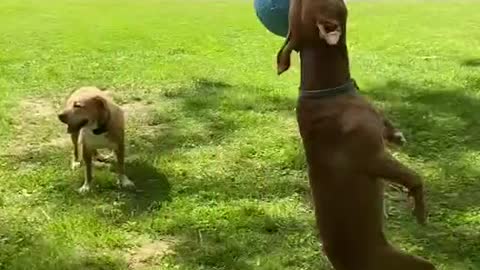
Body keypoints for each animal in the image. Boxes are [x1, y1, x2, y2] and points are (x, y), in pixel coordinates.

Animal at [274, 0, 436, 268]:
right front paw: (420, 213)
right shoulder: (373, 159)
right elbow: (415, 178)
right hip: (405, 260)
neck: (328, 89)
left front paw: (396, 135)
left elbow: (384, 122)